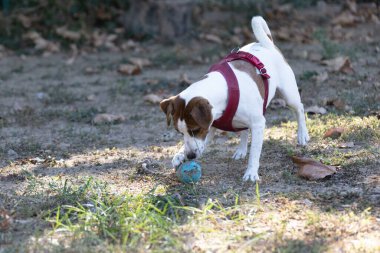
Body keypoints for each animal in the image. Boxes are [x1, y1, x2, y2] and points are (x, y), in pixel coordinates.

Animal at [159, 15, 310, 181]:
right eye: (180, 132)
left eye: (196, 129)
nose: (190, 156)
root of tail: (267, 44)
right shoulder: (211, 125)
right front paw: (180, 154)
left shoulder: (258, 124)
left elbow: (255, 152)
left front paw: (251, 172)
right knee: (244, 130)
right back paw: (241, 150)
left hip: (289, 95)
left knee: (300, 108)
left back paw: (302, 135)